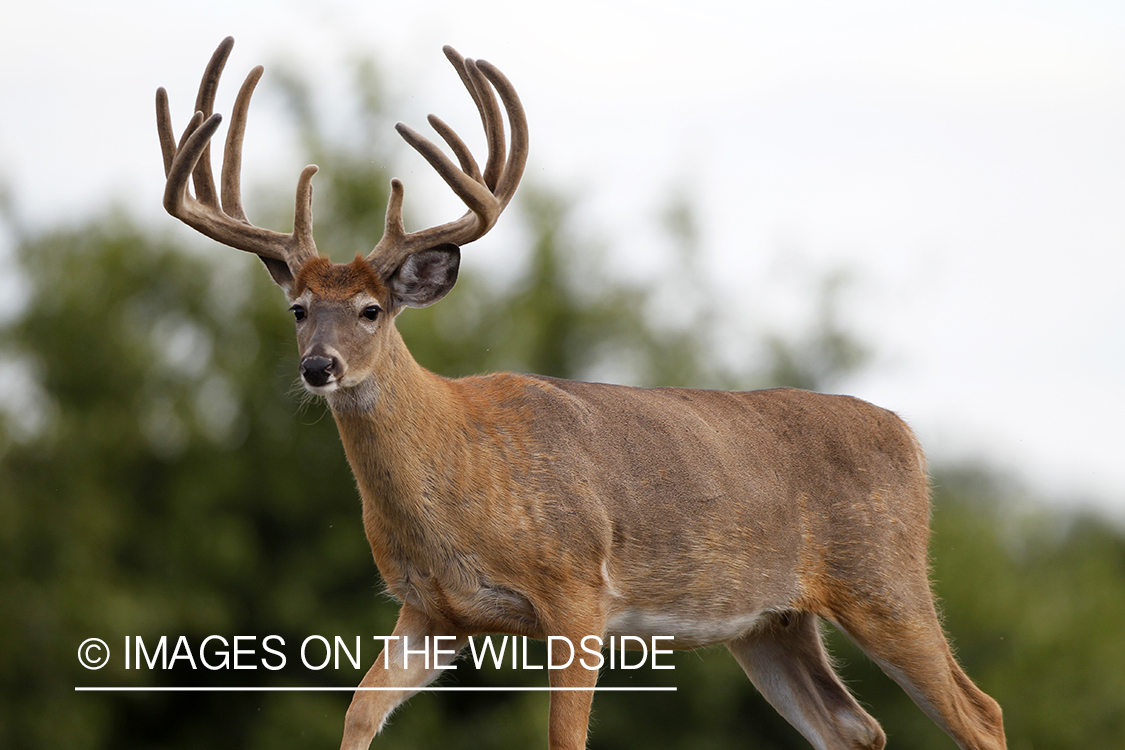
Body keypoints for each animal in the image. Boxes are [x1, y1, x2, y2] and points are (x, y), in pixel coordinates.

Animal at [154, 38, 1008, 750]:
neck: (455, 468)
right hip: (770, 621)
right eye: (298, 309)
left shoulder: (576, 589)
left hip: (884, 578)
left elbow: (565, 737)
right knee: (856, 728)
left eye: (371, 310)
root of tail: (907, 436)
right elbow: (358, 712)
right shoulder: (433, 610)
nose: (318, 368)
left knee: (981, 711)